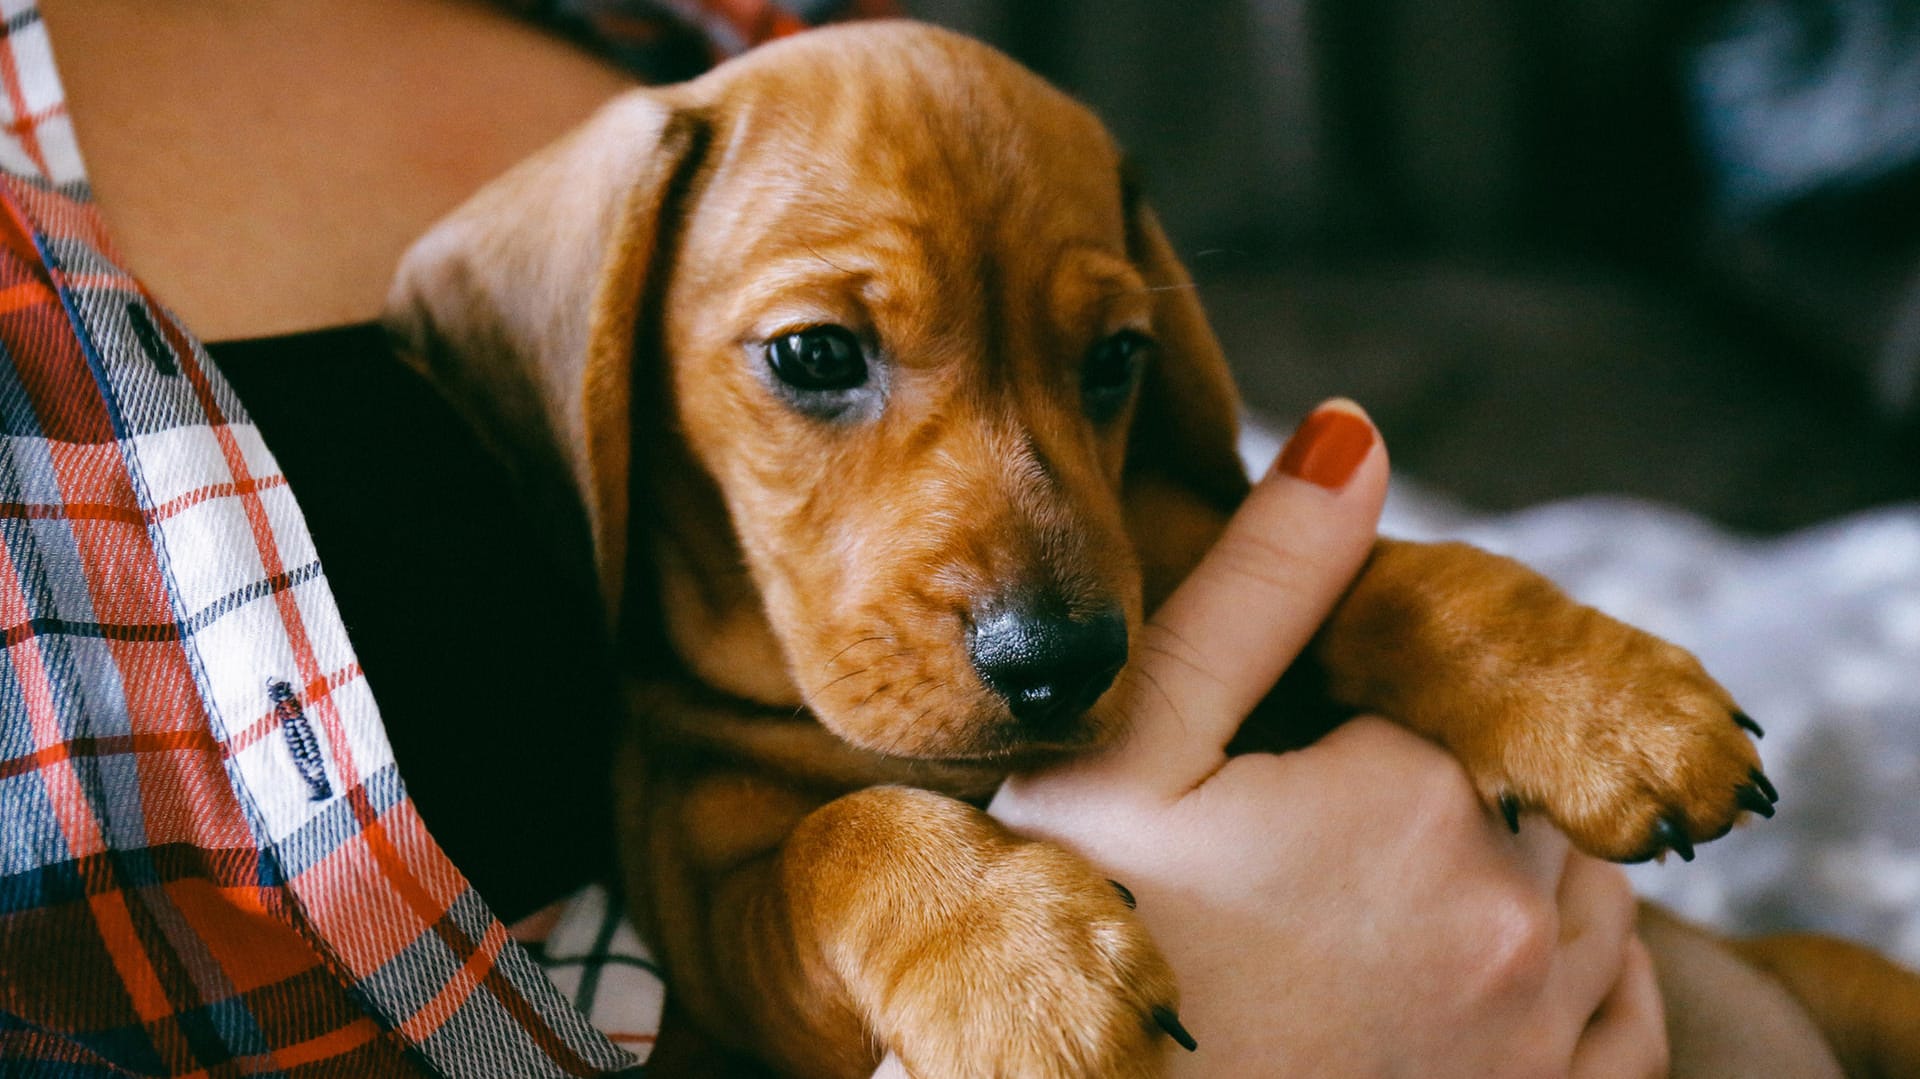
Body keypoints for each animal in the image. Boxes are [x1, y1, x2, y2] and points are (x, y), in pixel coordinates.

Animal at [382, 18, 1912, 1075]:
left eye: (1117, 357)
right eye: (814, 355)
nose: (1058, 661)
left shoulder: (1184, 551)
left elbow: (1398, 576)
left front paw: (1601, 700)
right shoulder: (715, 920)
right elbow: (843, 833)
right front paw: (1016, 959)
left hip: (1852, 979)